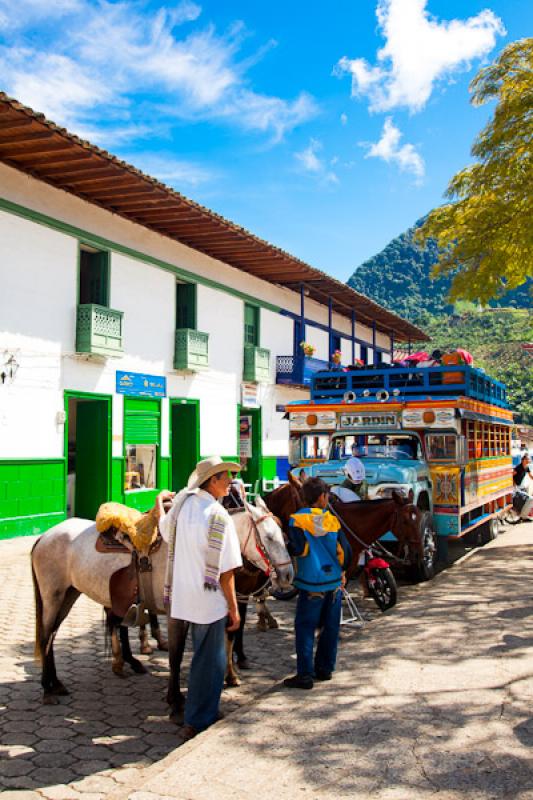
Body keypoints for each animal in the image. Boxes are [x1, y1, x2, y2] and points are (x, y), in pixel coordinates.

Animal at [31, 496, 294, 704]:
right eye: (269, 537)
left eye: (283, 533)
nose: (288, 575)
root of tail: (45, 536)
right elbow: (177, 653)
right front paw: (176, 699)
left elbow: (224, 639)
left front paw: (230, 676)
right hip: (53, 596)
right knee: (46, 635)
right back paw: (48, 689)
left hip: (70, 594)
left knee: (54, 634)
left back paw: (60, 682)